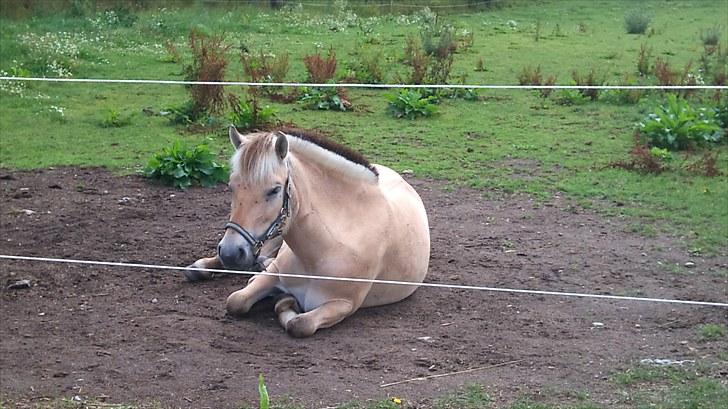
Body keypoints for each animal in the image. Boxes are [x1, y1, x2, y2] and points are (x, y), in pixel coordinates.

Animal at [185, 126, 432, 336]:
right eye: (231, 186)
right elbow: (236, 301)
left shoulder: (343, 305)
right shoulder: (272, 275)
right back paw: (202, 267)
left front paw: (286, 303)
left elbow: (300, 324)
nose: (230, 252)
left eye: (275, 190)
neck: (328, 247)